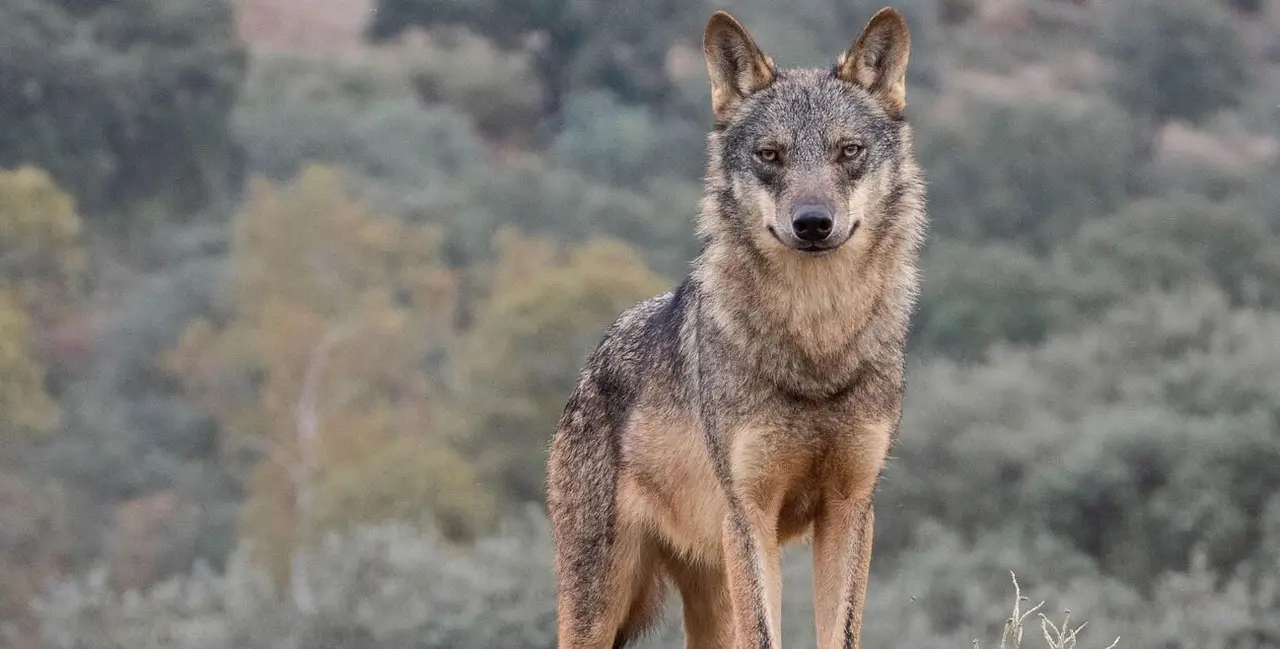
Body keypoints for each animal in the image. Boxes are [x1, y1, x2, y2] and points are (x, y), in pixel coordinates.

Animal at [545, 6, 926, 649]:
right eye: (770, 155)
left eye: (848, 151)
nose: (813, 223)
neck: (815, 343)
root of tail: (591, 365)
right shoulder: (750, 513)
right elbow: (767, 635)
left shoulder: (850, 510)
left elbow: (841, 633)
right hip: (602, 601)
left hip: (710, 593)